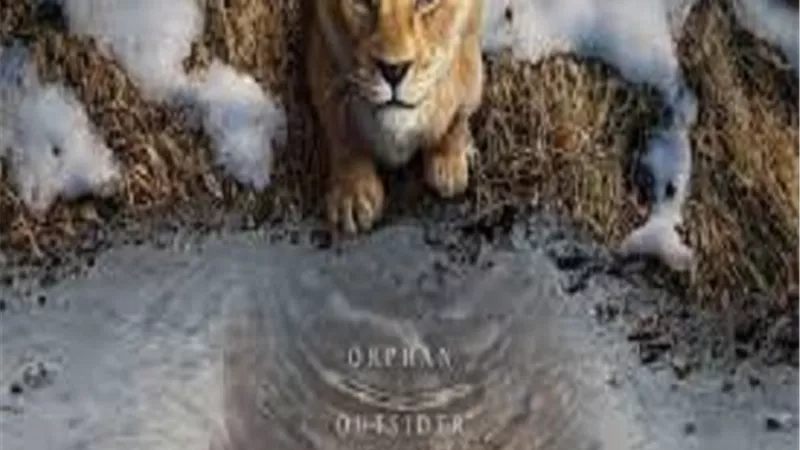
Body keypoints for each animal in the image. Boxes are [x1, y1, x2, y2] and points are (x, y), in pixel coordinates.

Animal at [308, 0, 485, 234]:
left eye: (427, 2)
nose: (393, 70)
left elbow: (459, 114)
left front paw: (449, 162)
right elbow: (342, 133)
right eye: (362, 2)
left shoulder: (471, 61)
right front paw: (352, 193)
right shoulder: (323, 62)